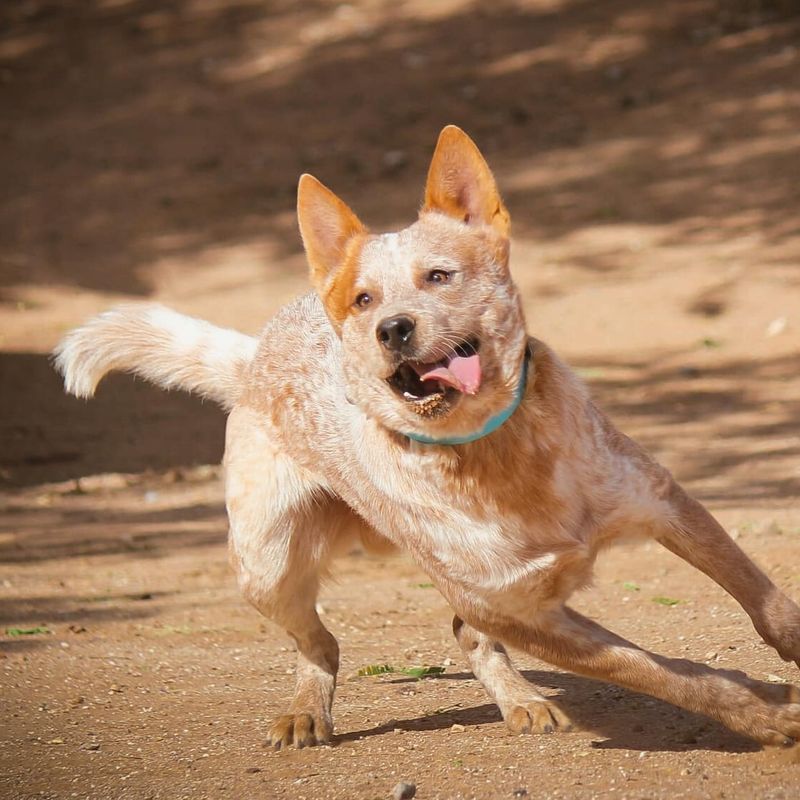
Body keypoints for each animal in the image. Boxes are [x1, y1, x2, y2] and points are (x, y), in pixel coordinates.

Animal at [53, 125, 796, 752]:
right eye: (363, 300)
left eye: (439, 275)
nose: (393, 329)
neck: (495, 451)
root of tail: (257, 353)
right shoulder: (522, 612)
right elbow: (658, 672)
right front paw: (760, 718)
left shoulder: (662, 500)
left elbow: (760, 595)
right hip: (266, 562)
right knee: (322, 643)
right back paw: (307, 711)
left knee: (461, 634)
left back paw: (521, 702)